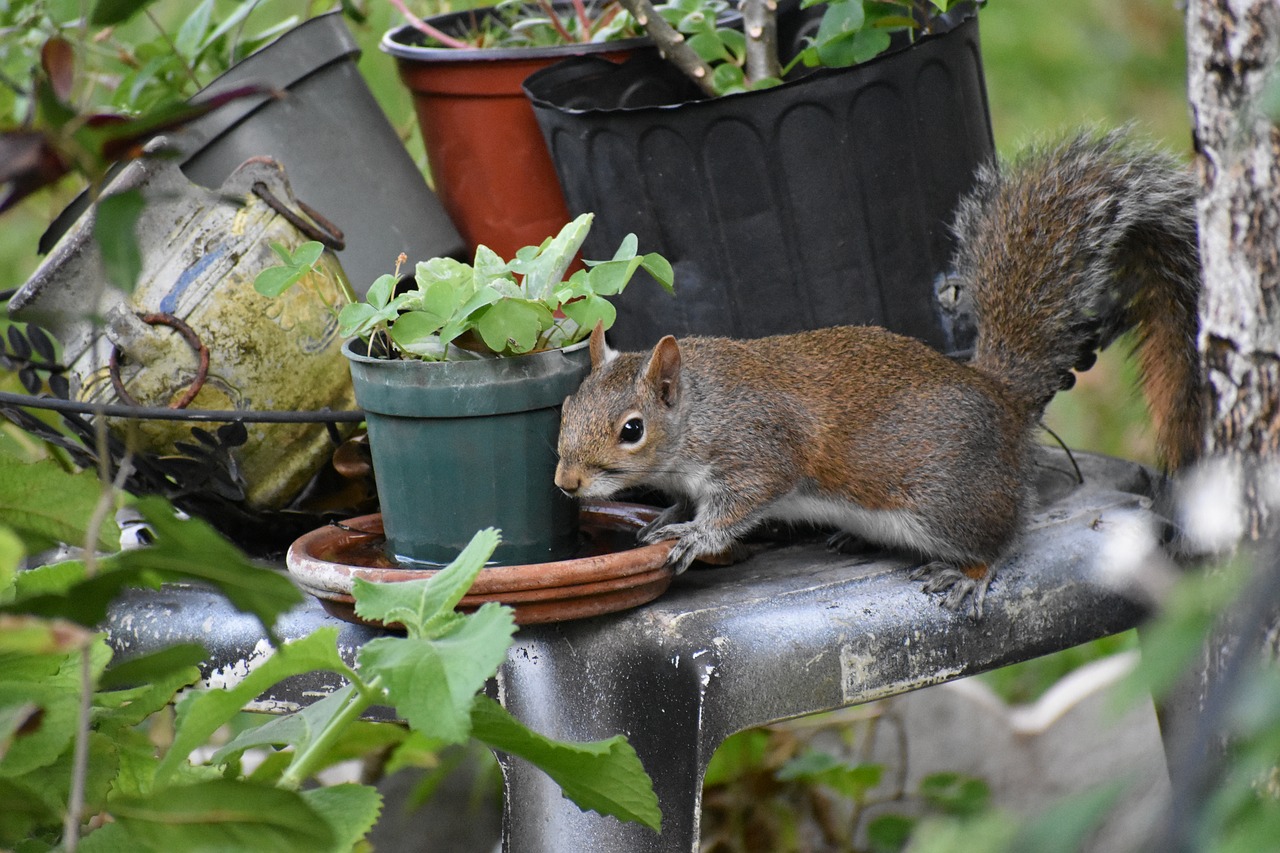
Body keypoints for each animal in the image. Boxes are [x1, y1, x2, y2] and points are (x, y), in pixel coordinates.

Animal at [555, 129, 1203, 614]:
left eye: (632, 430)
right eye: (567, 406)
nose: (566, 483)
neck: (701, 406)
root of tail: (1003, 398)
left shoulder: (758, 450)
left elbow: (741, 504)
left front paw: (693, 534)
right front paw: (667, 514)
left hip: (948, 501)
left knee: (1000, 536)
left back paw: (970, 572)